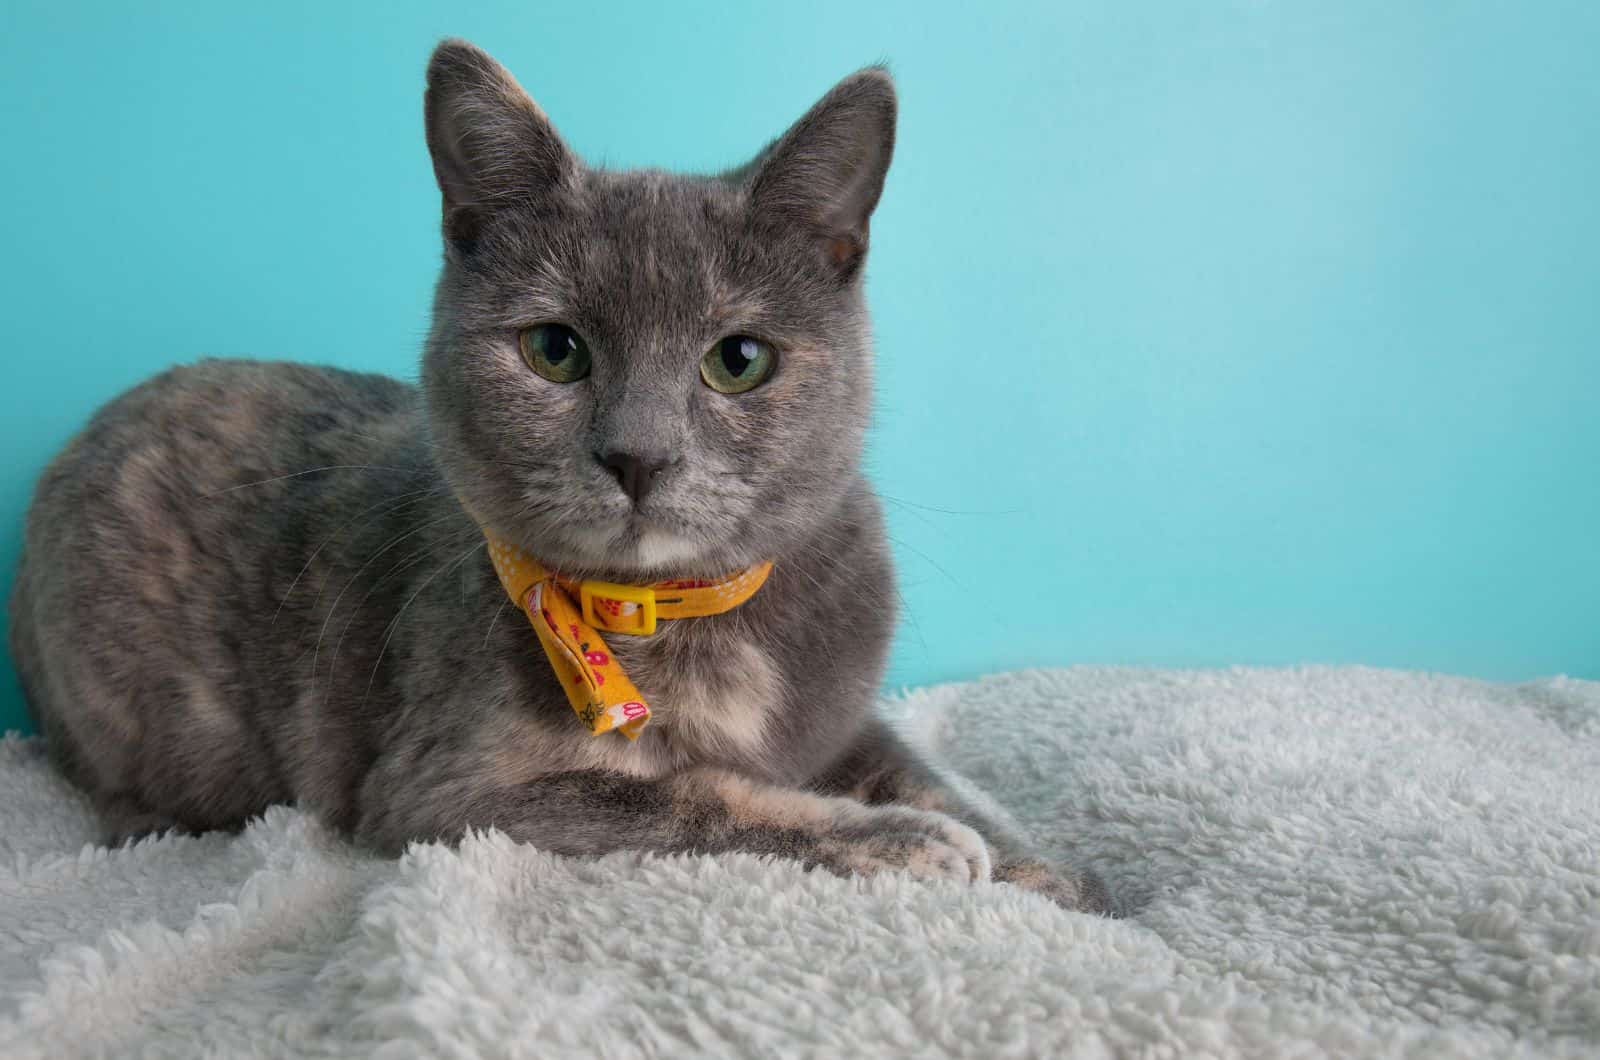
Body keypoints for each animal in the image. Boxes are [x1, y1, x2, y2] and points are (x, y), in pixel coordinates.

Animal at [9, 35, 1113, 915]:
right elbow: (688, 793)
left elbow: (925, 769)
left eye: (739, 360)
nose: (637, 454)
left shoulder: (837, 708)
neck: (672, 610)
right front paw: (900, 841)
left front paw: (1052, 871)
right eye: (554, 350)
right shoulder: (449, 793)